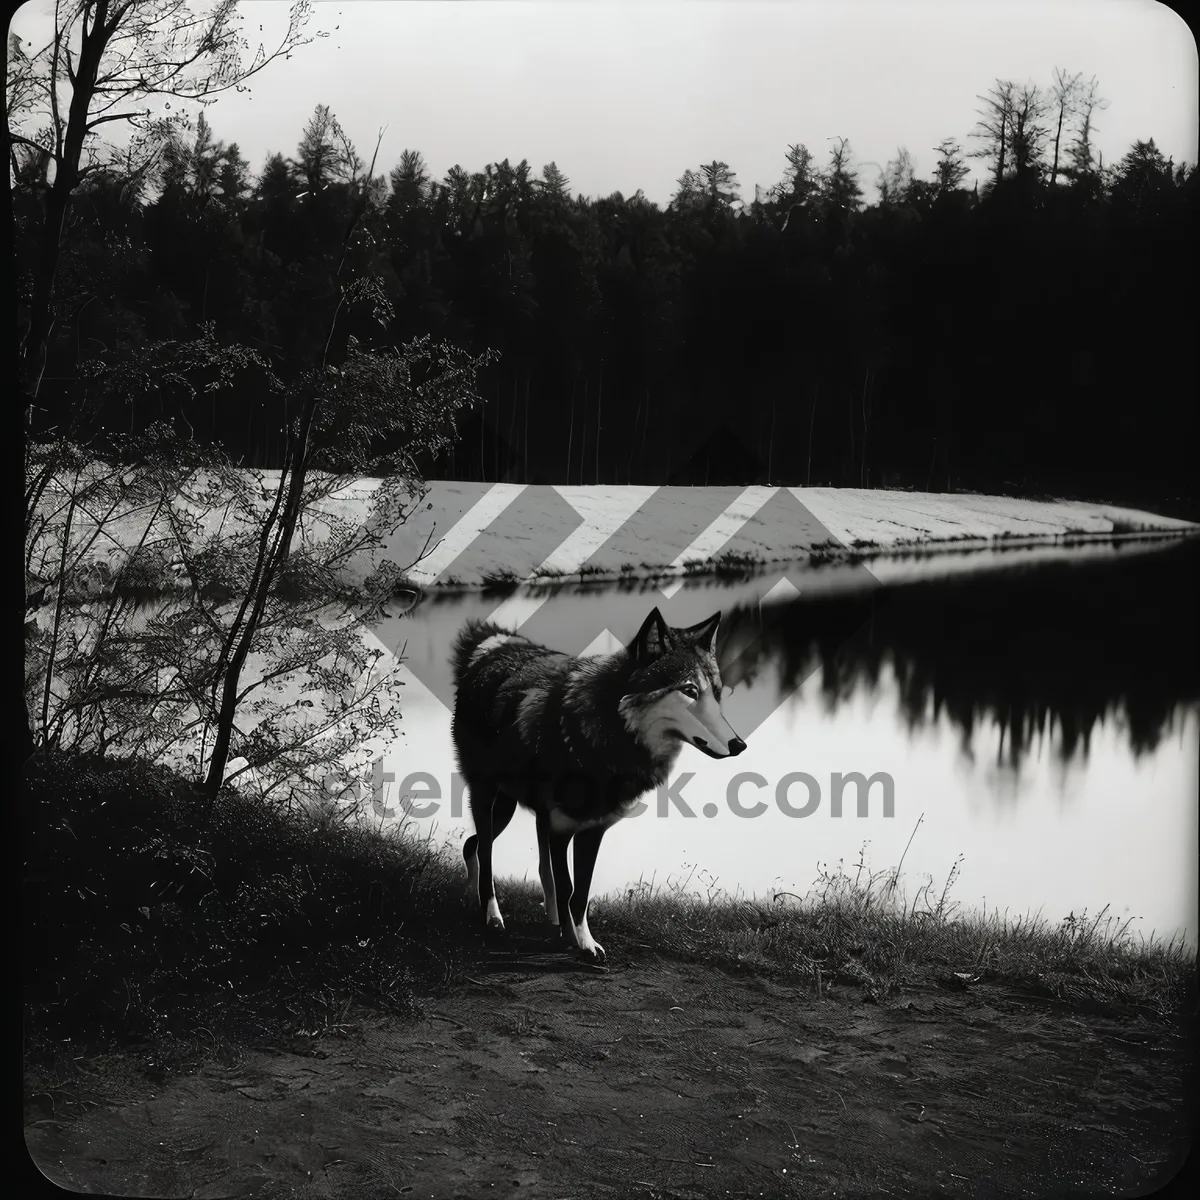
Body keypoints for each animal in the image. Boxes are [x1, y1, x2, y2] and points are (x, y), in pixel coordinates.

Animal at [451, 604, 744, 960]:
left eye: (716, 694)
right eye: (689, 691)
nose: (739, 745)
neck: (604, 738)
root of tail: (495, 647)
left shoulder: (591, 831)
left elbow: (580, 893)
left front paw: (583, 941)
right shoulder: (563, 830)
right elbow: (568, 887)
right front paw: (571, 942)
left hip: (518, 811)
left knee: (490, 851)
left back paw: (524, 912)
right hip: (491, 800)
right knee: (485, 851)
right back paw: (492, 915)